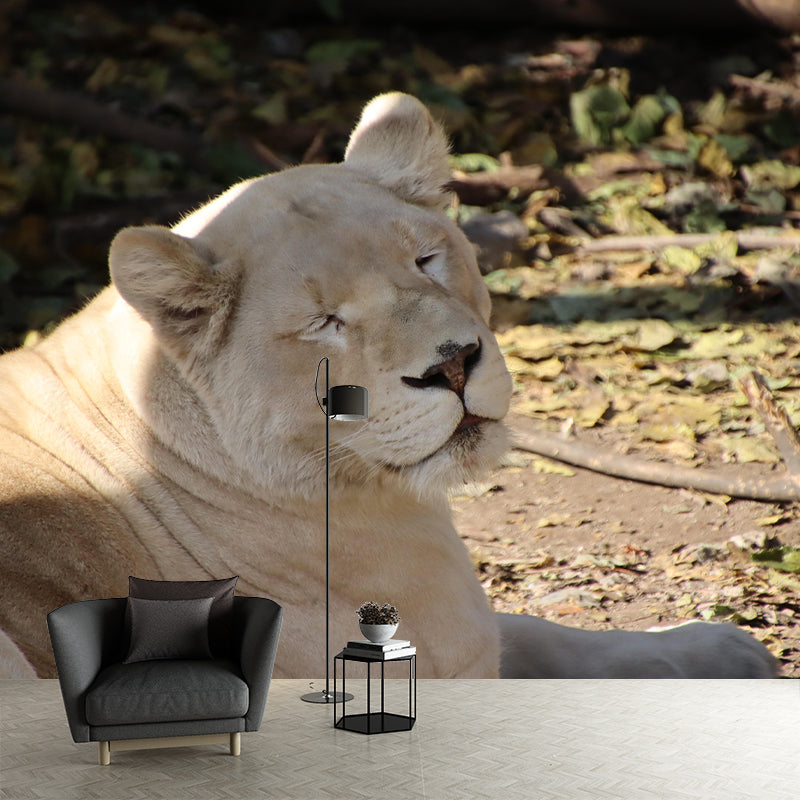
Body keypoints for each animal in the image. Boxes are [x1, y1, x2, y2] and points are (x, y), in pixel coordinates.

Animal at [0, 93, 777, 678]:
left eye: (426, 260)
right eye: (323, 322)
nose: (453, 364)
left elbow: (547, 632)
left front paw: (725, 647)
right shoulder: (445, 646)